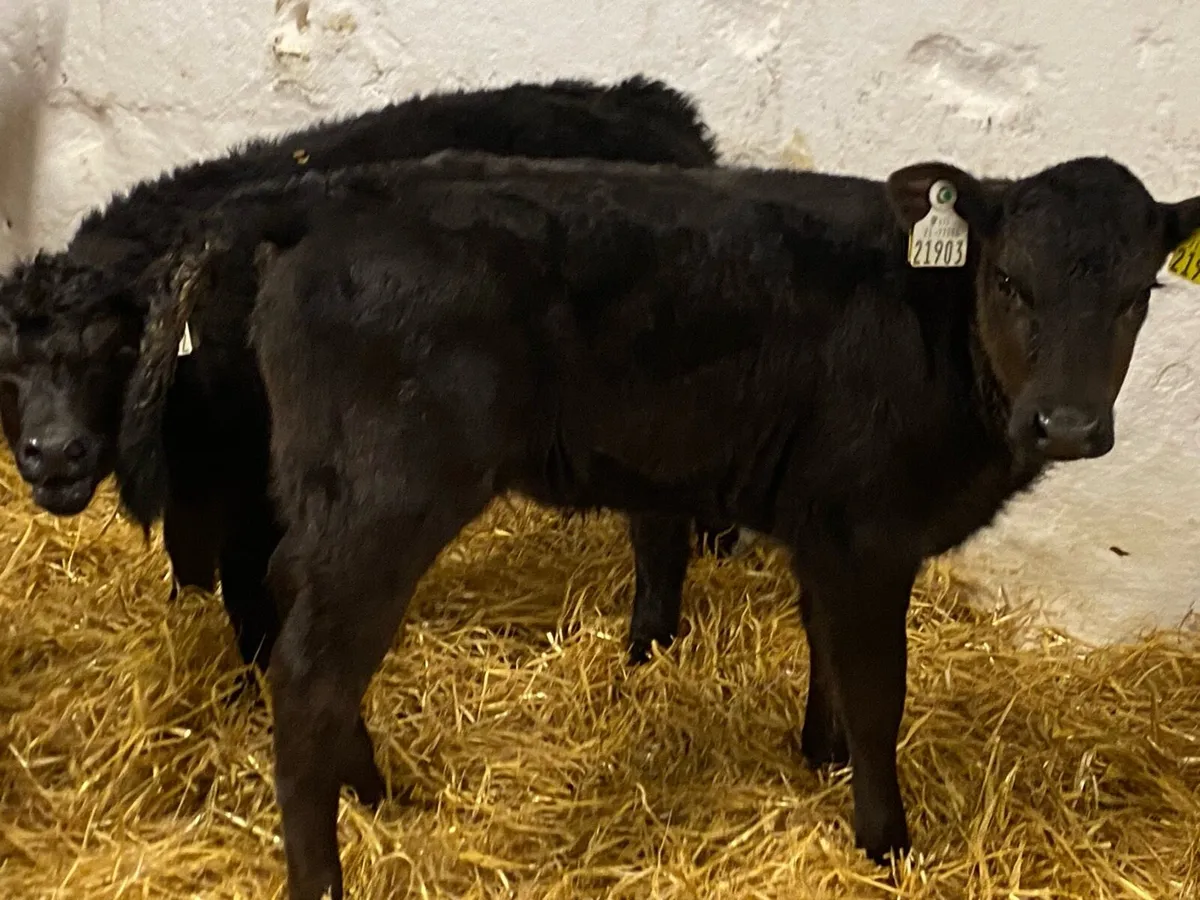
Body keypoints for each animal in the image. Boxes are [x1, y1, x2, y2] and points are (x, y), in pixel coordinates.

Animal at [0, 76, 738, 674]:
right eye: (4, 363)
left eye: (116, 350)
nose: (55, 452)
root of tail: (650, 103)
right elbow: (194, 563)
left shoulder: (254, 483)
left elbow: (250, 590)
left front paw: (257, 685)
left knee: (658, 525)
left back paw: (647, 645)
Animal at [152, 149, 1198, 899]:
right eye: (1012, 282)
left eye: (1137, 293)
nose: (1067, 423)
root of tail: (329, 196)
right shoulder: (867, 533)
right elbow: (877, 691)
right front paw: (886, 843)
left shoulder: (822, 528)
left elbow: (826, 655)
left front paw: (818, 757)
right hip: (386, 498)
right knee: (311, 673)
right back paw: (326, 872)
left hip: (330, 498)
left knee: (296, 617)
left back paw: (376, 793)